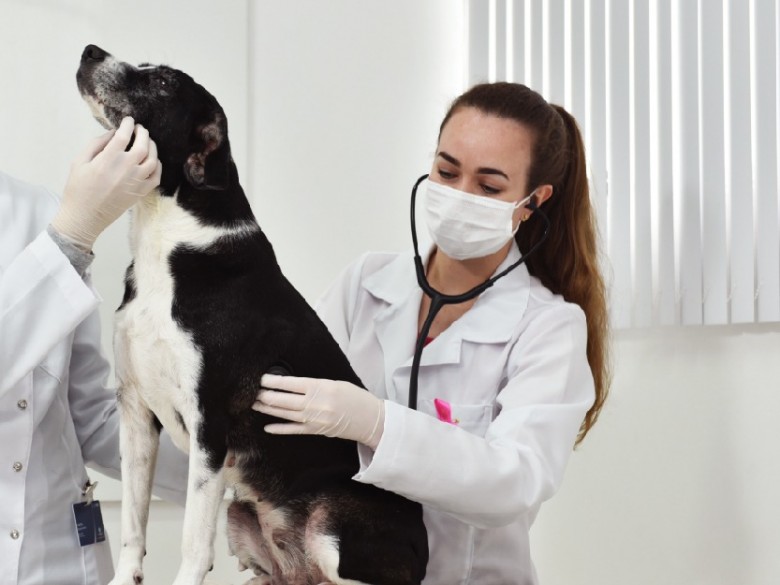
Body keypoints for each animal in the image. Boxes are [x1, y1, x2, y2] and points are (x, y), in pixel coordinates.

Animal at [76, 44, 428, 585]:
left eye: (164, 84)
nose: (90, 51)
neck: (169, 237)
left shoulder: (211, 426)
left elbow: (192, 542)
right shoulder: (134, 411)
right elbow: (134, 524)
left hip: (333, 531)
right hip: (245, 520)